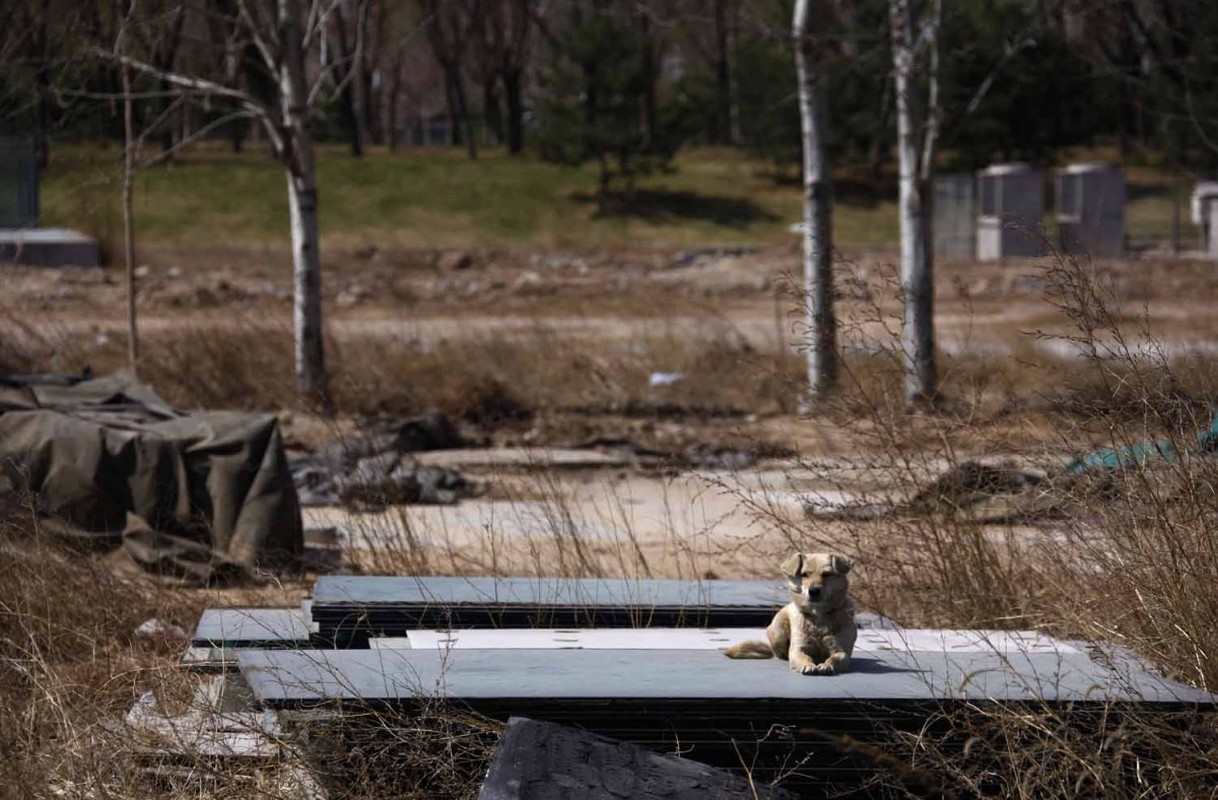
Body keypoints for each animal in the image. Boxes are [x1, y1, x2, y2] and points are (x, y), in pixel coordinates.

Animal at [721, 552, 857, 672]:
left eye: (826, 574)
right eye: (804, 574)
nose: (813, 591)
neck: (818, 616)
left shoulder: (841, 651)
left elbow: (834, 659)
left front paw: (826, 665)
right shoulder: (798, 649)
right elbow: (804, 657)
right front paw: (808, 665)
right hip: (778, 632)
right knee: (779, 654)